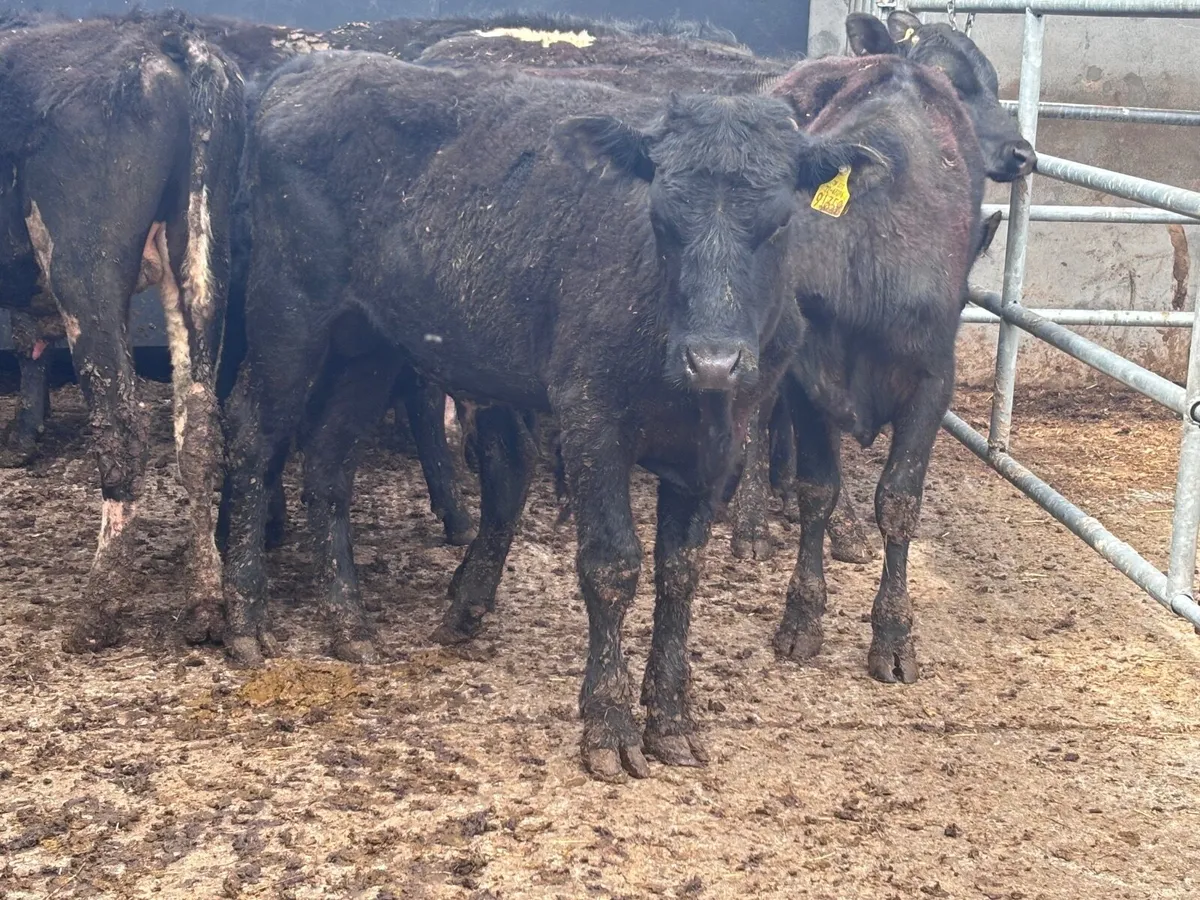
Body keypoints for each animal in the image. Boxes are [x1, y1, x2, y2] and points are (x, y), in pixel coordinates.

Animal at [0, 11, 245, 651]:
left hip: (84, 268)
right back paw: (205, 603)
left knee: (122, 437)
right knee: (199, 435)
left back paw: (96, 612)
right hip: (201, 264)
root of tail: (160, 35)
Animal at [222, 51, 900, 781]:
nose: (713, 361)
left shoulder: (716, 443)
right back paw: (244, 619)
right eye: (661, 220)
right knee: (253, 438)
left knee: (327, 462)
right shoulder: (592, 421)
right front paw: (609, 724)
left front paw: (672, 720)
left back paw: (349, 625)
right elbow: (612, 565)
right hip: (288, 317)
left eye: (777, 223)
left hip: (369, 346)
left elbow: (680, 571)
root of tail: (309, 67)